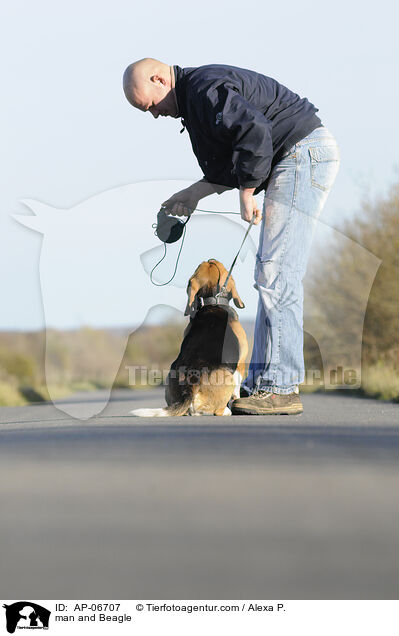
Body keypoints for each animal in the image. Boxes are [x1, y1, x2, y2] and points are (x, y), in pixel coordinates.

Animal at [131, 260, 248, 418]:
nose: (210, 258)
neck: (213, 301)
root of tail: (190, 386)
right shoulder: (241, 363)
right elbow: (238, 387)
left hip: (170, 376)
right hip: (227, 377)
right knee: (218, 410)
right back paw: (226, 411)